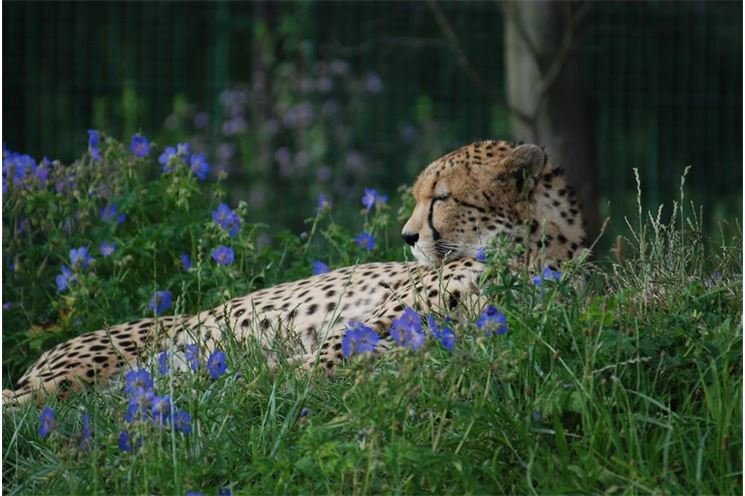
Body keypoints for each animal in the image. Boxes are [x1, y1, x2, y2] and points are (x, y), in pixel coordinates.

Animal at [2, 140, 584, 404]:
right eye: (421, 196)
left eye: (441, 198)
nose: (406, 236)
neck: (531, 256)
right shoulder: (355, 334)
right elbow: (301, 367)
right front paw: (244, 380)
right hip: (79, 372)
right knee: (24, 406)